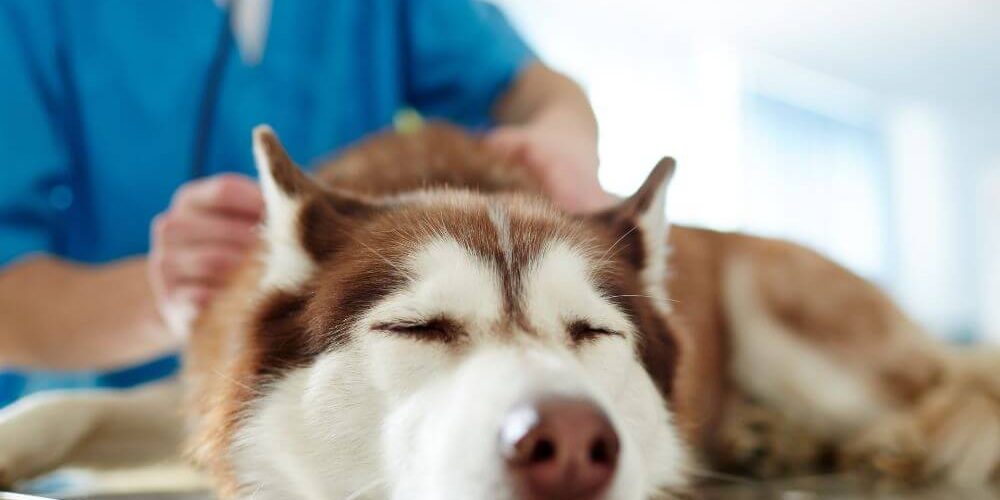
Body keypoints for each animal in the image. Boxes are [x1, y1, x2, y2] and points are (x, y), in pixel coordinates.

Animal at [1, 122, 1000, 500]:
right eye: (417, 329)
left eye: (593, 334)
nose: (571, 447)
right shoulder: (204, 392)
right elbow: (68, 405)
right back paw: (771, 440)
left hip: (784, 313)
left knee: (955, 388)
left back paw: (893, 439)